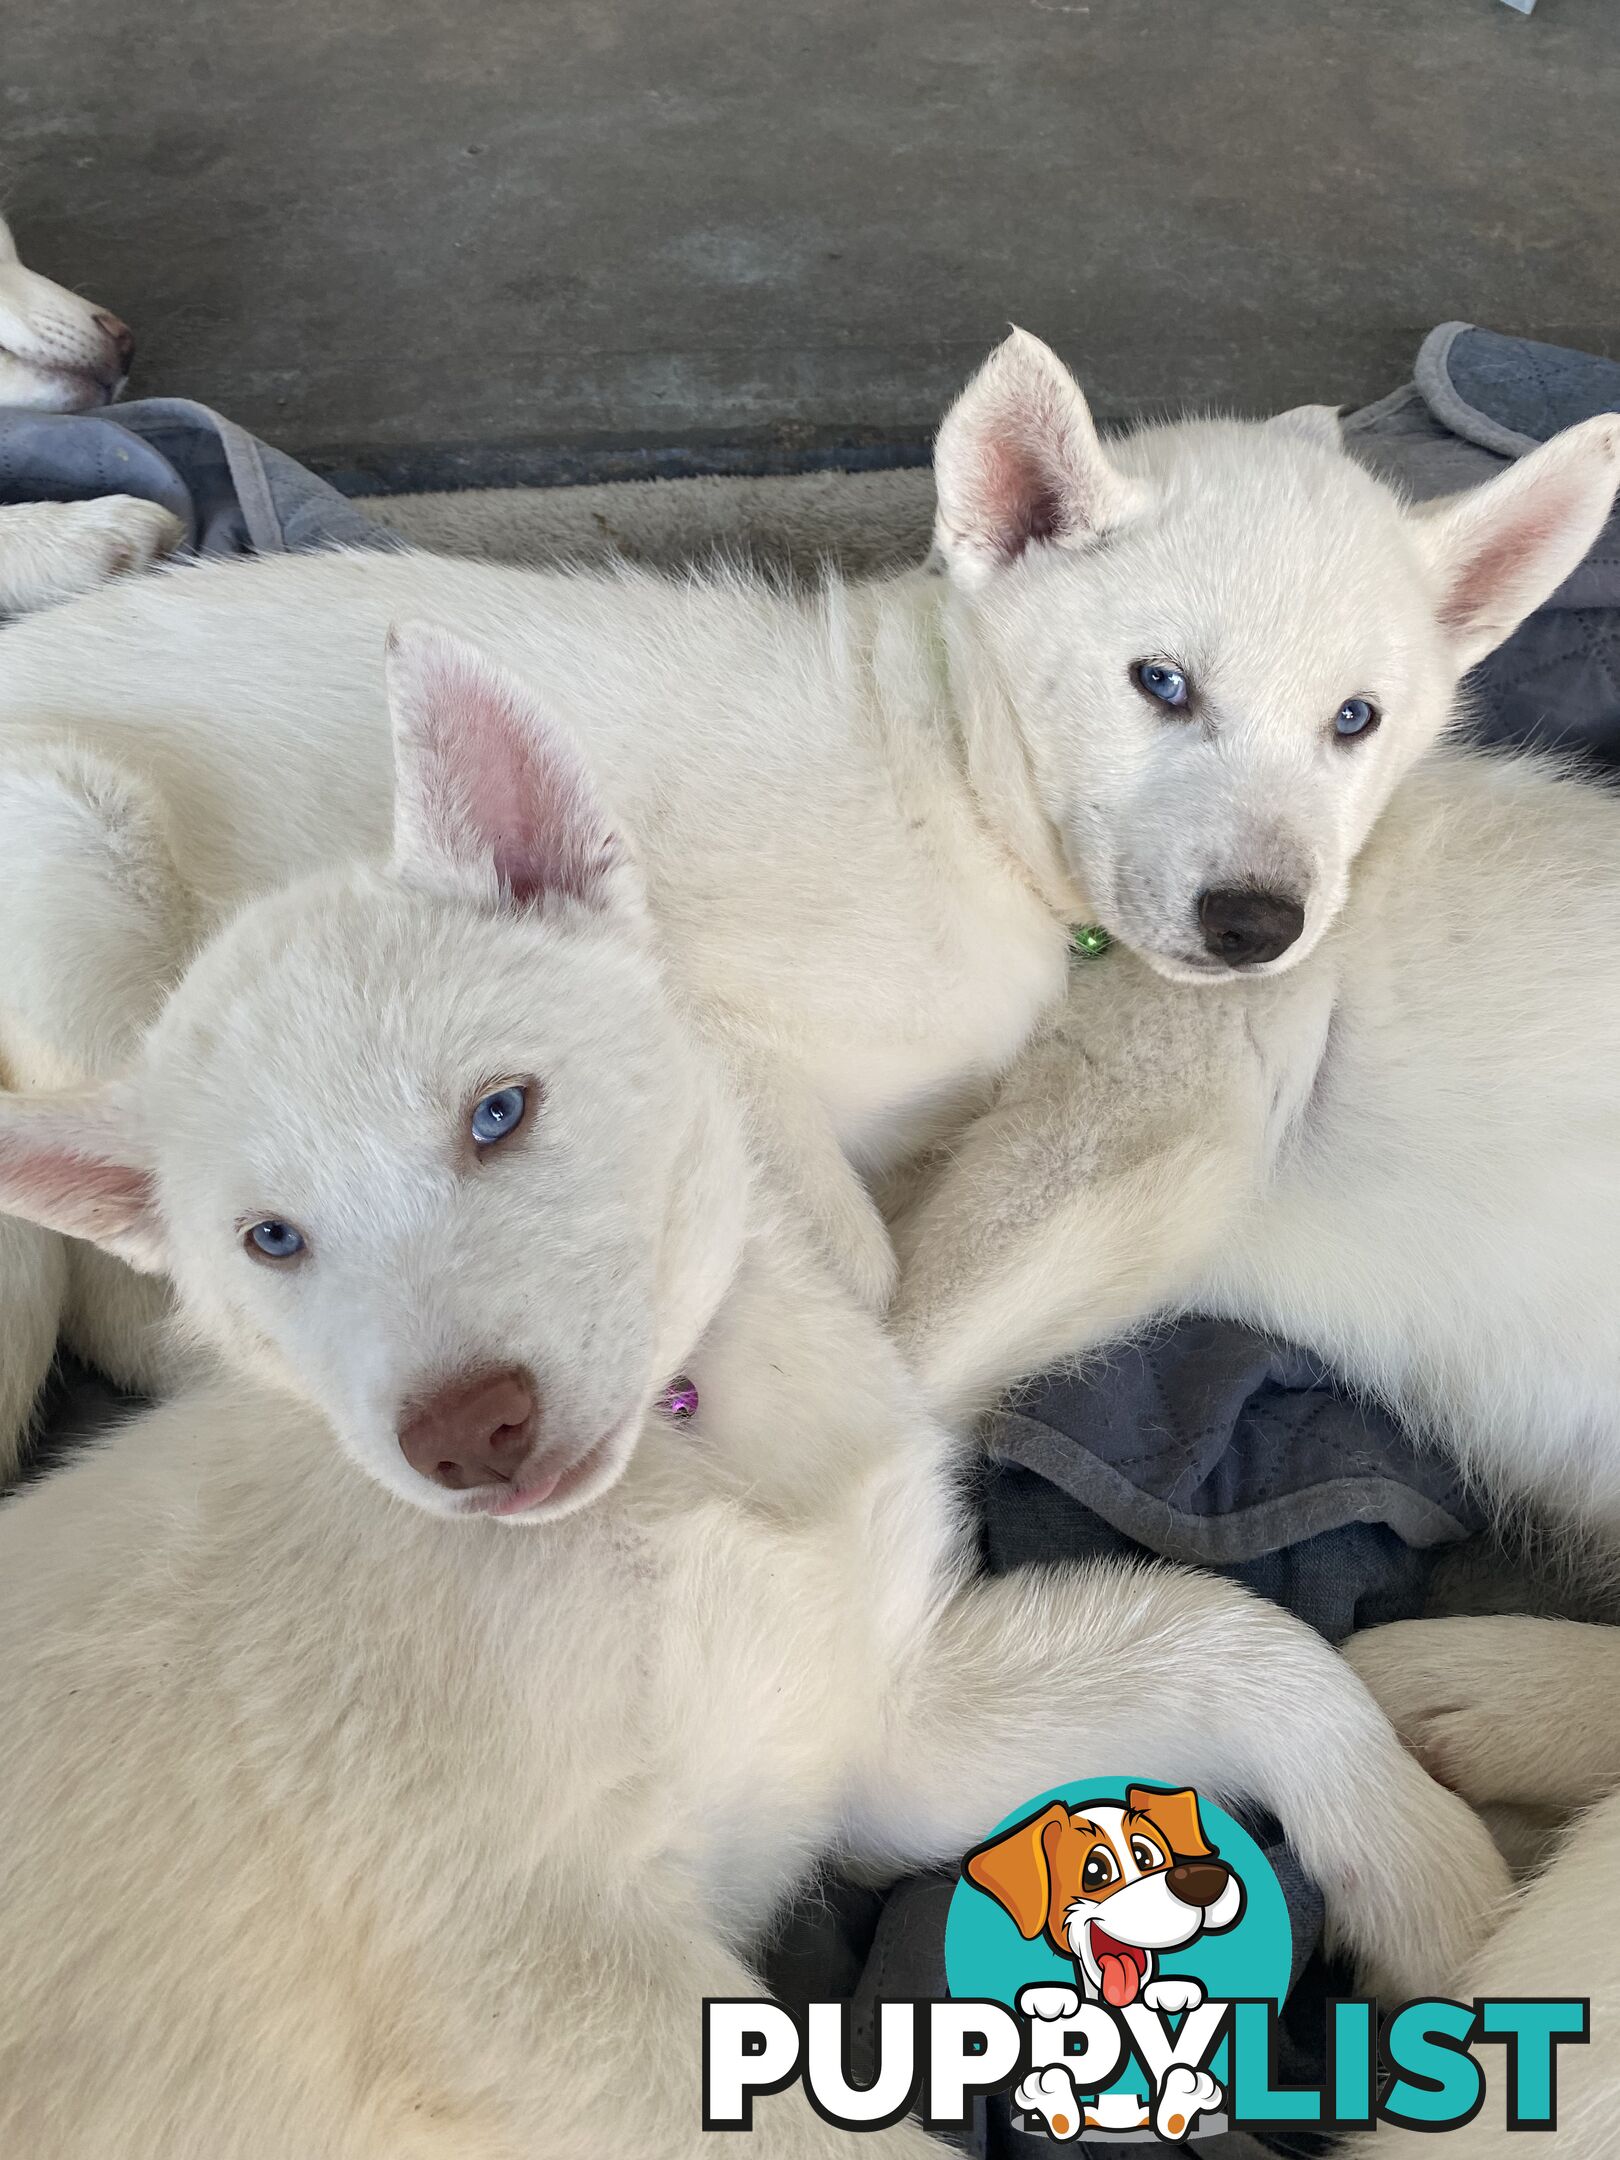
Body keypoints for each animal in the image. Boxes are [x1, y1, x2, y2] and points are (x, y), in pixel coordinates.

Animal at [0, 336, 1615, 1477]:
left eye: (1357, 720)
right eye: (1160, 683)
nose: (1255, 926)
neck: (948, 786)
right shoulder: (702, 1026)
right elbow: (861, 1270)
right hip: (89, 861)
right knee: (144, 1298)